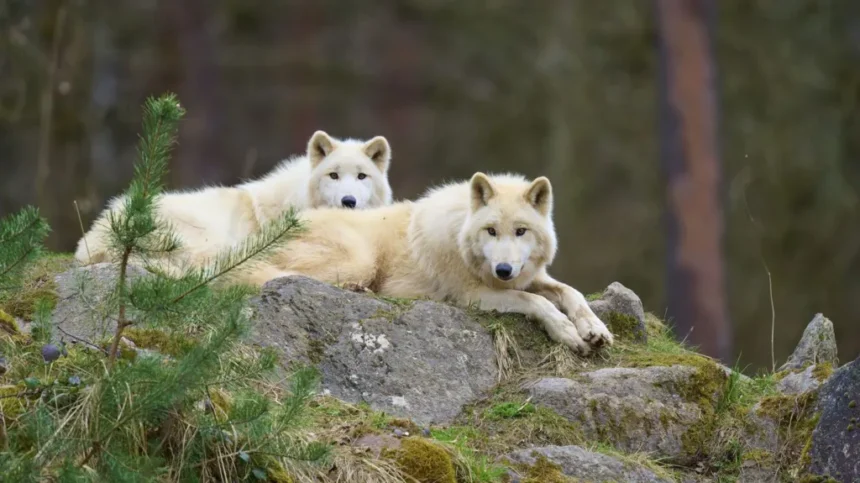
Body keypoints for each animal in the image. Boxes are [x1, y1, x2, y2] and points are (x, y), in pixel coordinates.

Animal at [238, 172, 614, 354]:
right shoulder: (471, 295)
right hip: (358, 259)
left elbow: (571, 293)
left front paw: (594, 328)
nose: (503, 270)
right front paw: (567, 332)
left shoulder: (526, 277)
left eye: (521, 231)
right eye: (491, 231)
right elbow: (535, 301)